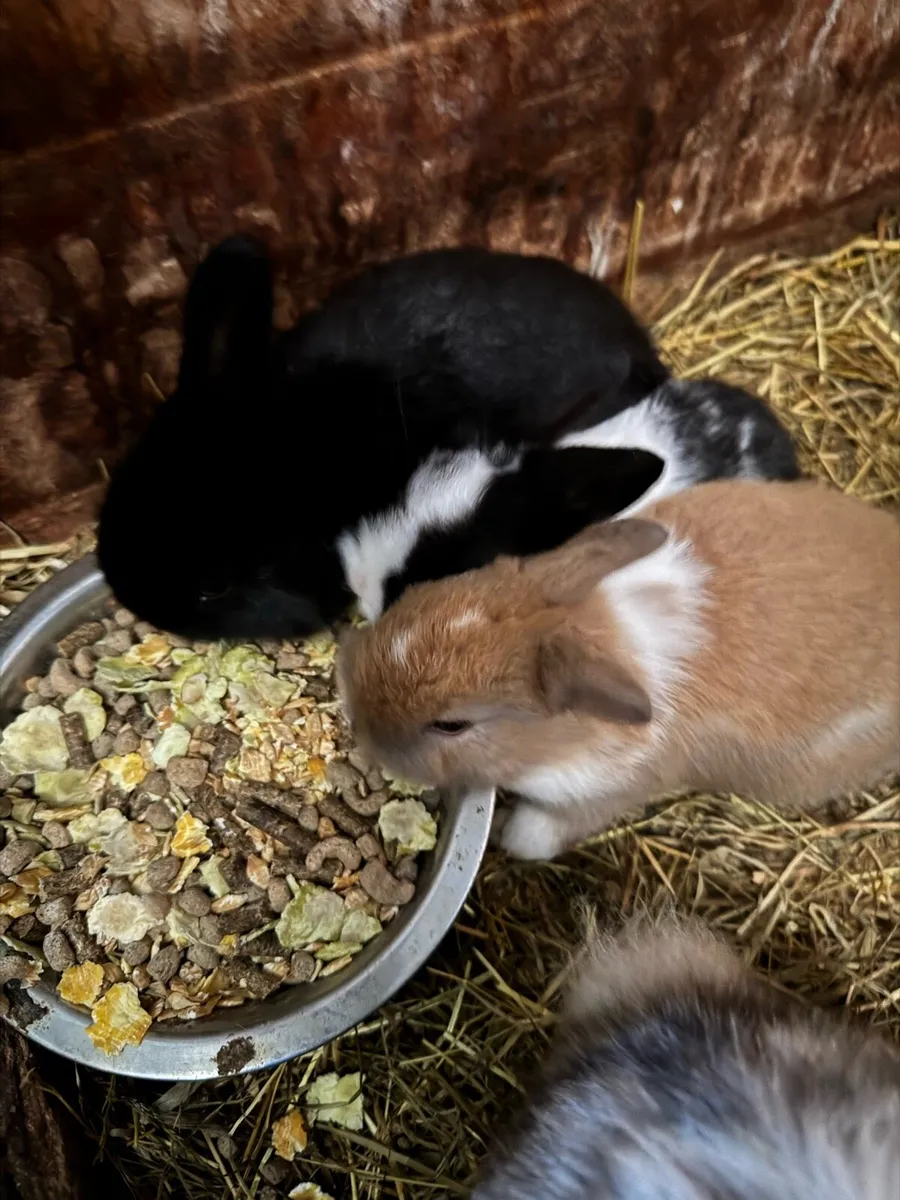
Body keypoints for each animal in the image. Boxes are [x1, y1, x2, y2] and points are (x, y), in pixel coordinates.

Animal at [338, 478, 900, 861]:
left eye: (453, 725)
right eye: (420, 594)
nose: (360, 727)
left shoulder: (610, 788)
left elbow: (536, 835)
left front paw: (504, 835)